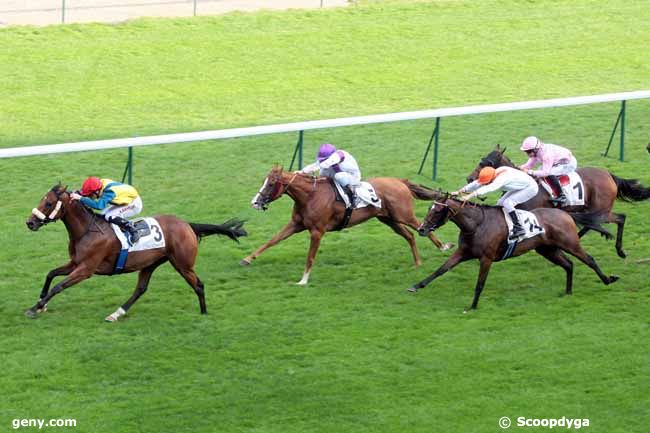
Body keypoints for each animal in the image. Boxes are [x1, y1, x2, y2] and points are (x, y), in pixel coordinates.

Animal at [24, 182, 244, 320]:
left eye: (49, 203)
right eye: (41, 200)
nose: (30, 222)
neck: (86, 231)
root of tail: (187, 225)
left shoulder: (86, 269)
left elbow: (58, 286)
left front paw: (35, 308)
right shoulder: (75, 263)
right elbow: (51, 274)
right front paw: (41, 301)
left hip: (182, 264)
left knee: (198, 285)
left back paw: (204, 313)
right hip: (151, 263)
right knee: (141, 289)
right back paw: (116, 314)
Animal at [240, 165, 454, 284]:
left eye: (270, 184)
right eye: (264, 181)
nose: (255, 202)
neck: (310, 196)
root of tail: (401, 181)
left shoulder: (317, 231)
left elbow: (310, 257)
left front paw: (303, 280)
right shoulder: (295, 224)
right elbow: (272, 241)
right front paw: (248, 259)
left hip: (403, 215)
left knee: (421, 227)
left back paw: (443, 246)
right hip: (388, 219)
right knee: (410, 235)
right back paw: (417, 263)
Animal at [408, 193, 616, 310]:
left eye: (436, 211)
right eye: (429, 208)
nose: (421, 229)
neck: (476, 224)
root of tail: (565, 213)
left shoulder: (486, 258)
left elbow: (480, 283)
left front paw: (473, 306)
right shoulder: (463, 253)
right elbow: (441, 269)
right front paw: (416, 286)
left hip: (570, 243)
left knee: (589, 259)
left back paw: (608, 279)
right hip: (546, 250)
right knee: (569, 264)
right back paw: (568, 291)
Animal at [466, 143, 648, 258]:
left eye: (488, 163)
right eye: (481, 160)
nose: (470, 179)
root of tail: (609, 175)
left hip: (601, 210)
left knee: (620, 218)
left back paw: (619, 250)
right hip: (590, 210)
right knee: (593, 223)